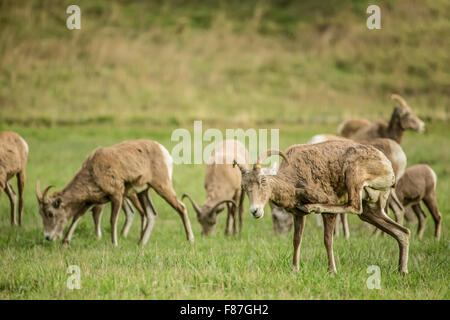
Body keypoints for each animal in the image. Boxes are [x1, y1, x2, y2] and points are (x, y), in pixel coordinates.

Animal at [36, 139, 194, 246]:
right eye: (41, 214)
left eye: (50, 213)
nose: (47, 237)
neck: (93, 171)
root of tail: (163, 151)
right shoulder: (91, 201)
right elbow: (76, 217)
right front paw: (65, 243)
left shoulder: (117, 196)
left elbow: (113, 220)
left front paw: (114, 244)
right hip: (143, 192)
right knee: (151, 214)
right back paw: (140, 243)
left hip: (162, 186)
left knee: (181, 207)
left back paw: (190, 240)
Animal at [234, 140, 410, 276]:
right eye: (244, 187)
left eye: (262, 181)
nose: (255, 211)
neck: (294, 180)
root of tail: (388, 167)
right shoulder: (298, 216)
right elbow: (296, 240)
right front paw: (295, 270)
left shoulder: (328, 208)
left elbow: (328, 240)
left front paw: (332, 271)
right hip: (372, 210)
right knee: (402, 232)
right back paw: (402, 271)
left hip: (354, 175)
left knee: (354, 207)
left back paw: (313, 207)